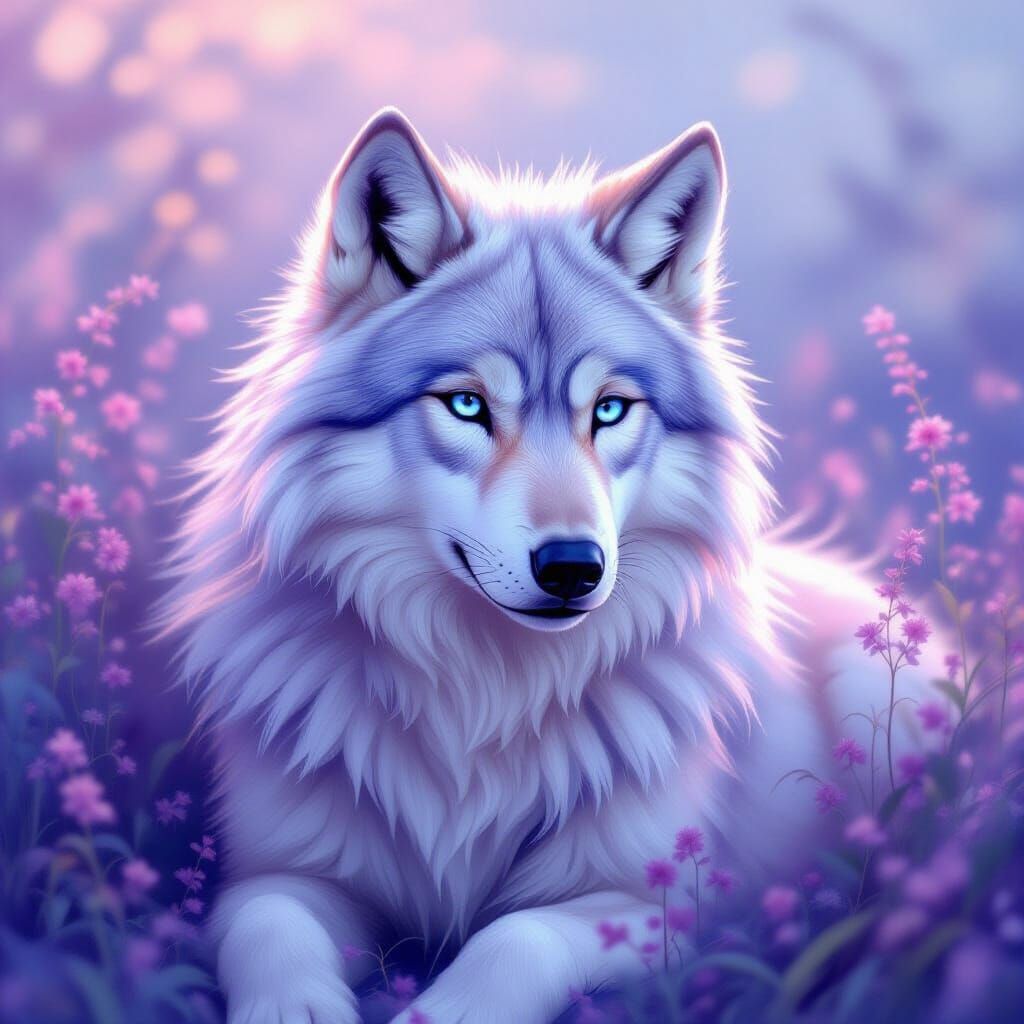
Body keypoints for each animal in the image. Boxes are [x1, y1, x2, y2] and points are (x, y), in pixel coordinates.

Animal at [158, 108, 932, 1023]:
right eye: (467, 405)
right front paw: (296, 1008)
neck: (485, 693)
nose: (573, 567)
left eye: (610, 409)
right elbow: (269, 923)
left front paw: (446, 1010)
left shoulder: (663, 905)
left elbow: (516, 935)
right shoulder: (274, 870)